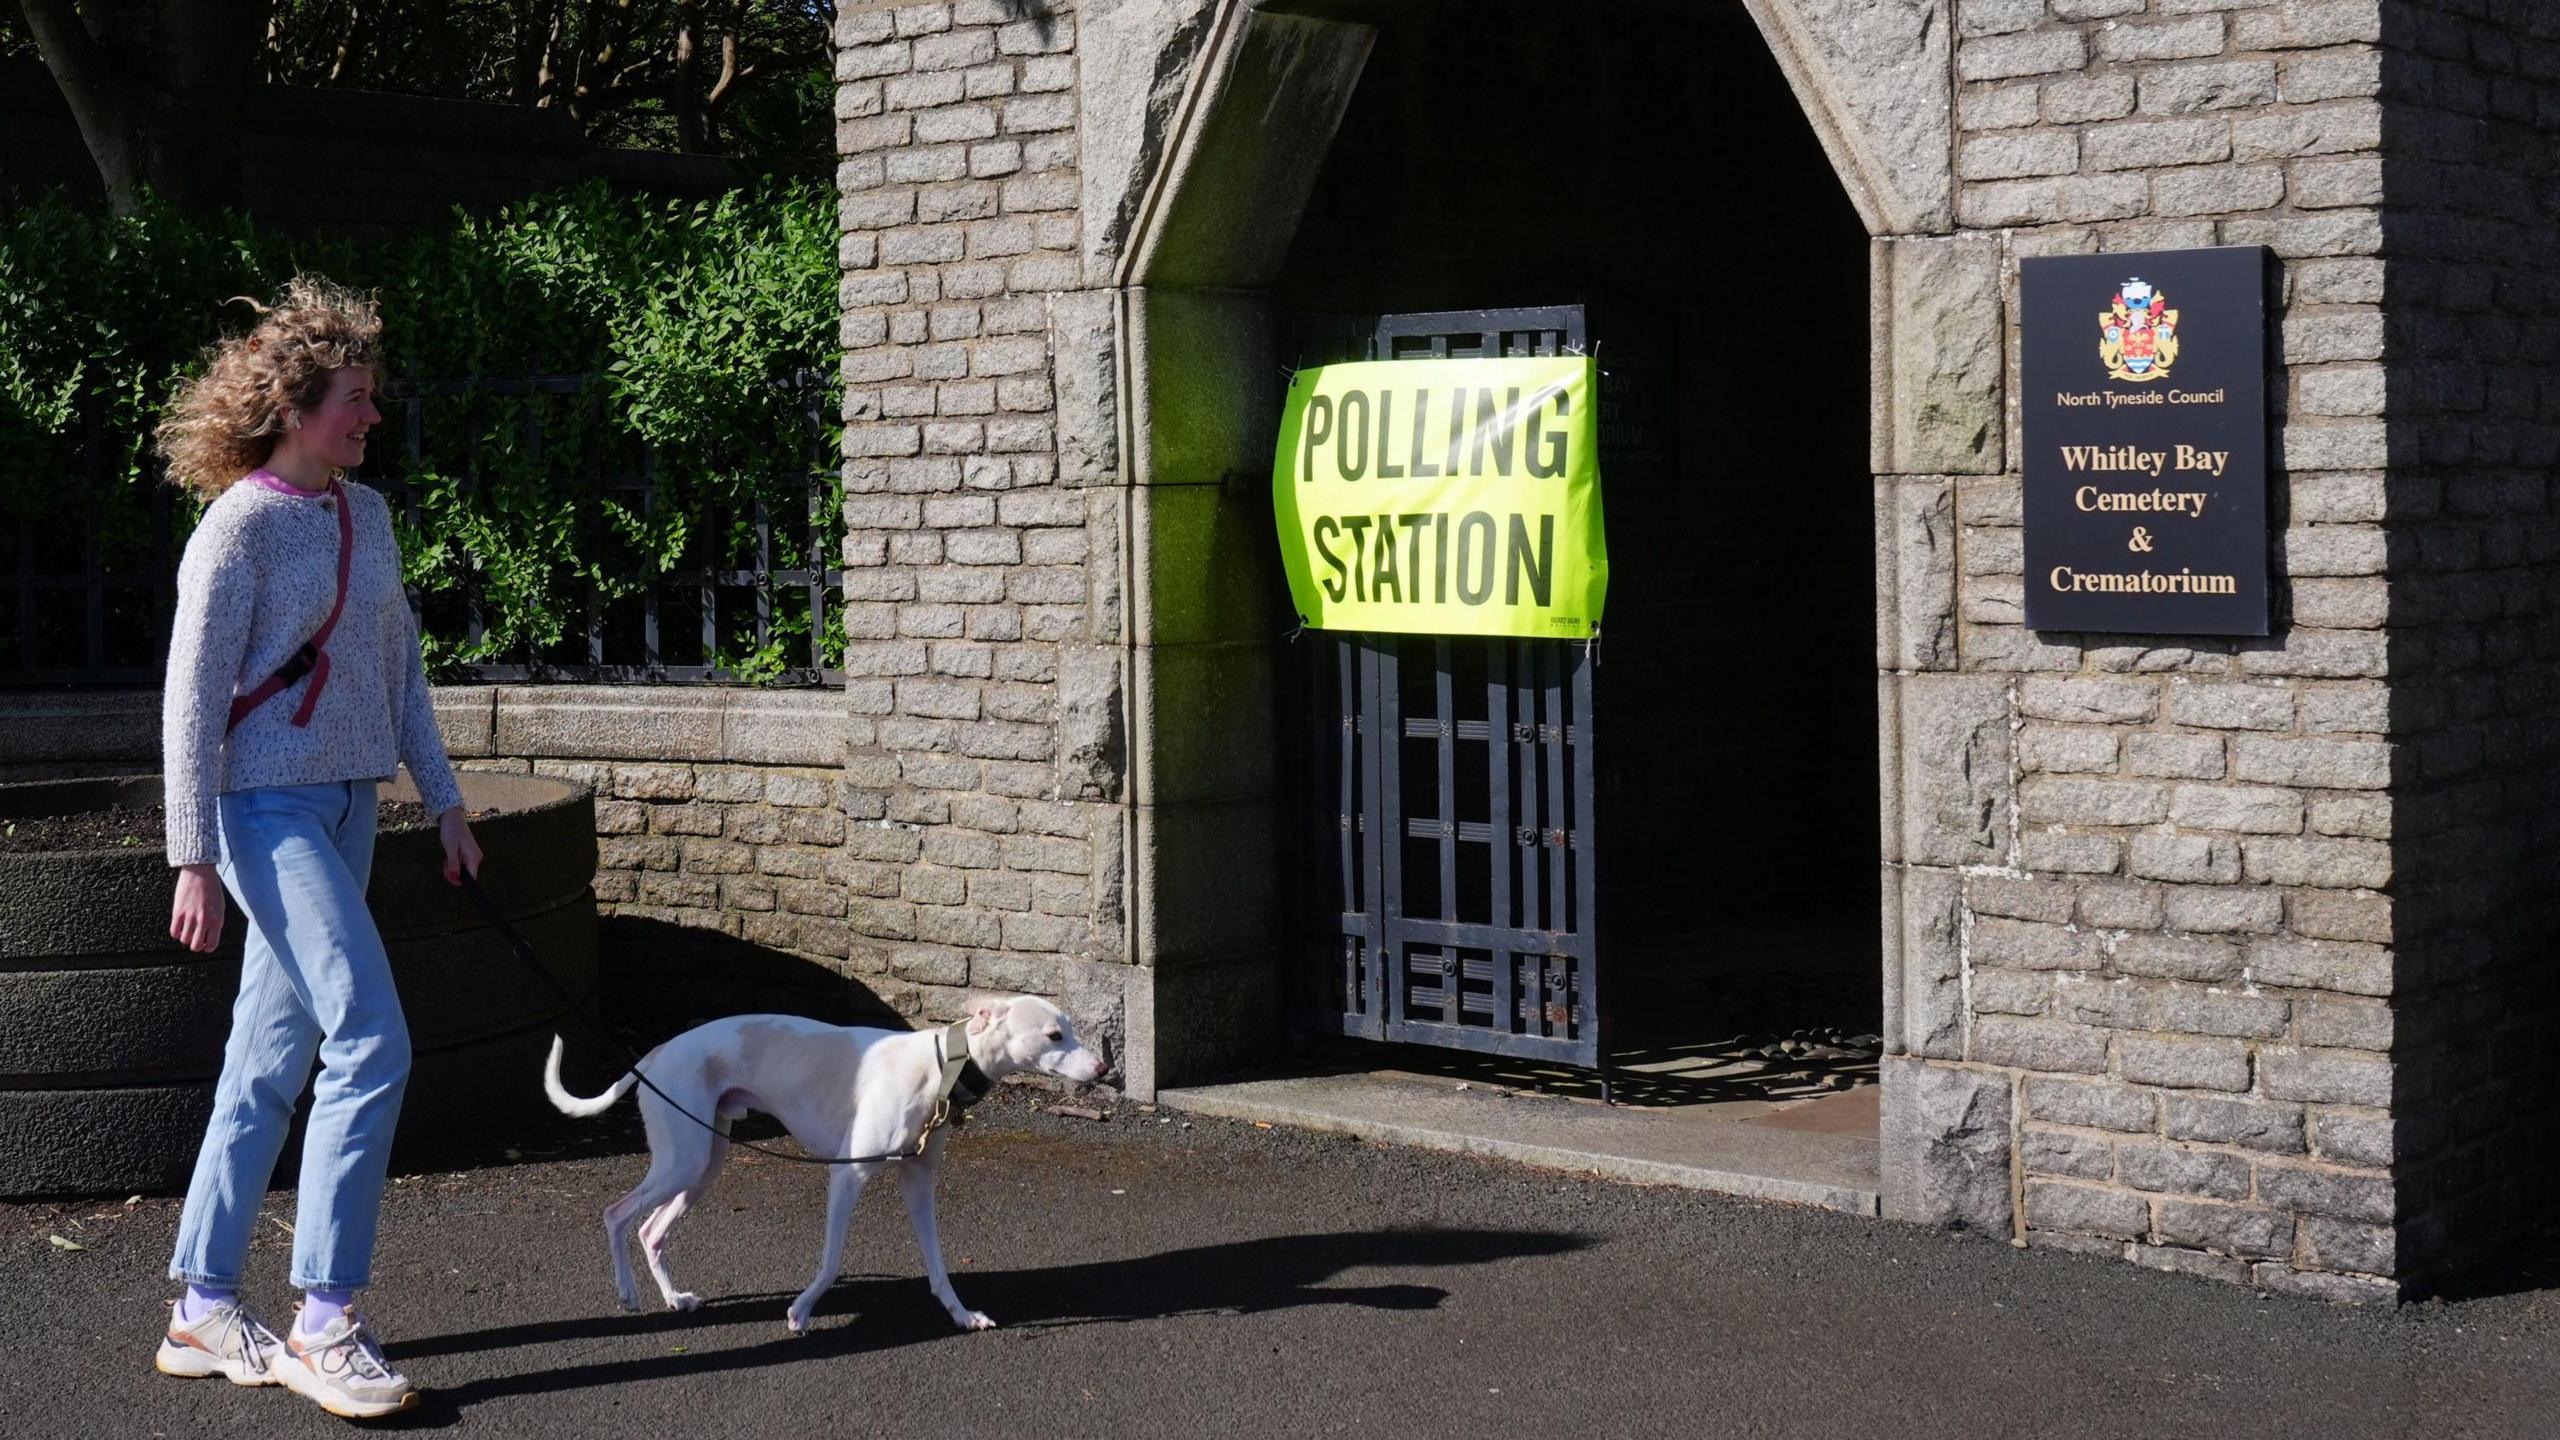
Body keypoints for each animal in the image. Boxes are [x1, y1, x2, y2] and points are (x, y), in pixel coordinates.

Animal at [540, 994, 1100, 1332]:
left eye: (1070, 1030)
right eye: (1054, 1036)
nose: (1102, 1068)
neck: (941, 1066)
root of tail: (656, 1052)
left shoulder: (918, 1180)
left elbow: (938, 1264)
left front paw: (962, 1315)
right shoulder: (847, 1173)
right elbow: (832, 1261)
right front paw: (801, 1311)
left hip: (701, 1163)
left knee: (651, 1229)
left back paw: (674, 1298)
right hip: (684, 1159)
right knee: (617, 1214)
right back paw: (627, 1293)